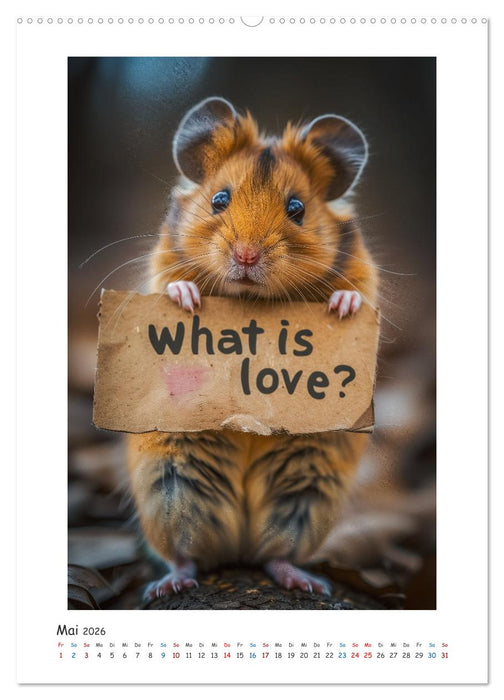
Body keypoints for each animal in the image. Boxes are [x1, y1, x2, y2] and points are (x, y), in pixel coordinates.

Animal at [127, 97, 379, 598]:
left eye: (297, 208)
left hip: (306, 494)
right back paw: (169, 586)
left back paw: (308, 584)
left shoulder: (364, 274)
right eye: (219, 200)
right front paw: (187, 298)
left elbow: (357, 293)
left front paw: (342, 306)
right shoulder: (160, 266)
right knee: (185, 555)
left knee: (275, 554)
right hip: (170, 486)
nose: (245, 256)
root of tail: (238, 548)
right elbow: (170, 285)